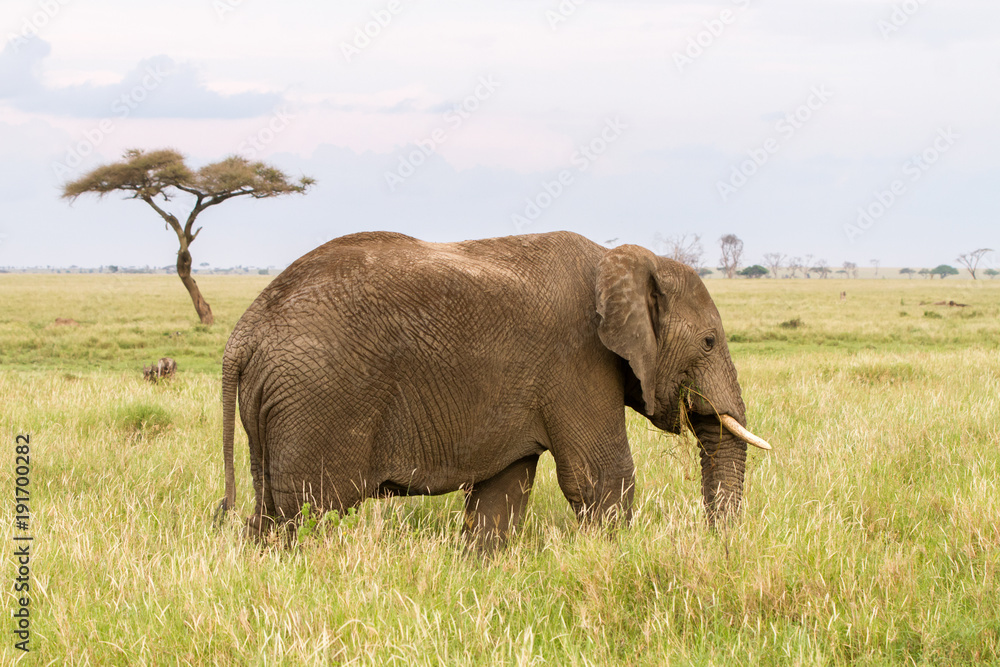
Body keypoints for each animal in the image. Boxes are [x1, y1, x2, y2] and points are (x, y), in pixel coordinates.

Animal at [220, 231, 770, 550]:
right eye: (709, 341)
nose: (718, 547)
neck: (622, 259)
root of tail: (245, 332)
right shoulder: (578, 359)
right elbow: (601, 476)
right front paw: (615, 558)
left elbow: (503, 488)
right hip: (317, 397)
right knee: (303, 510)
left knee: (268, 510)